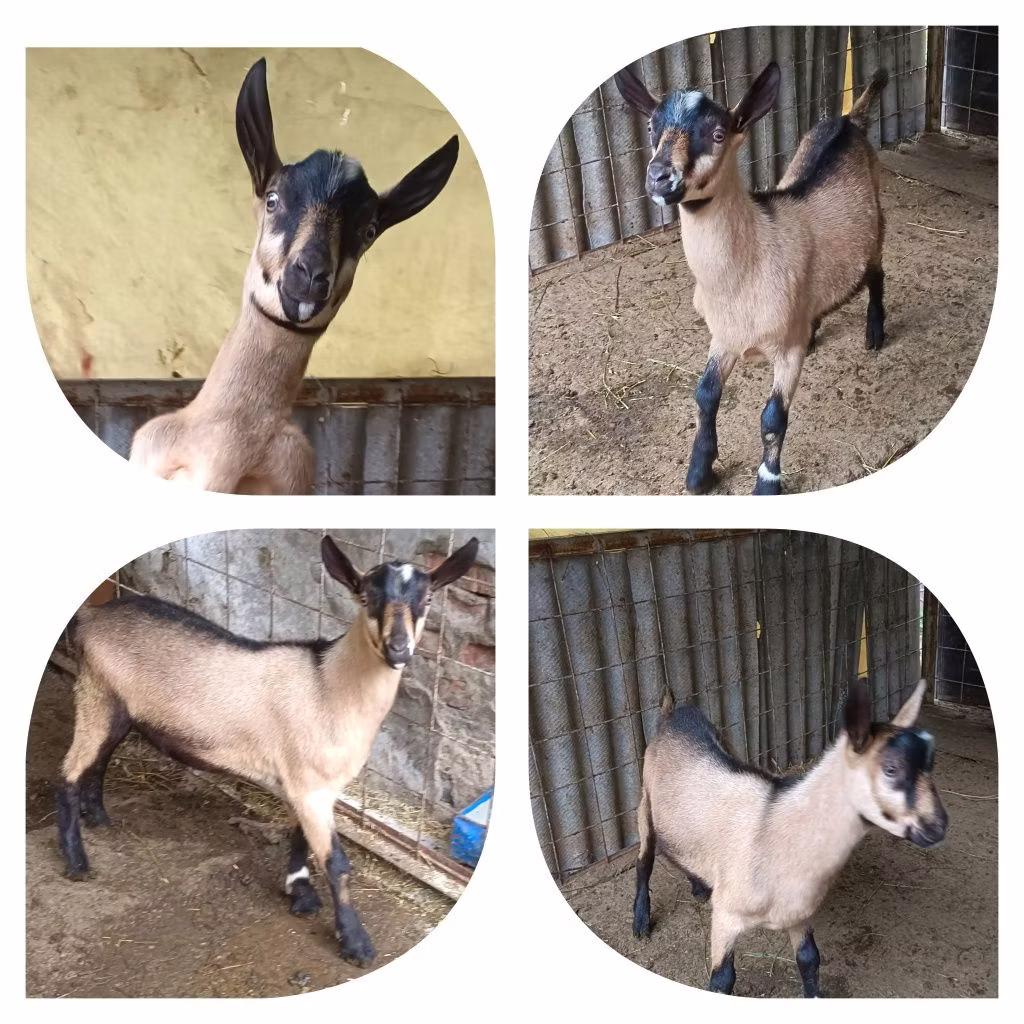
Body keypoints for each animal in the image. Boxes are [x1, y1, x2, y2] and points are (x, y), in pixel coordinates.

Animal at [56, 535, 479, 966]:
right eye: (364, 596)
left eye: (428, 598)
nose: (398, 648)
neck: (329, 685)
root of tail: (92, 617)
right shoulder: (310, 786)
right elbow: (337, 862)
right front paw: (356, 943)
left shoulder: (309, 784)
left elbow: (300, 837)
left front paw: (300, 893)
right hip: (95, 693)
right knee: (69, 772)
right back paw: (77, 860)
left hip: (118, 706)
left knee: (101, 757)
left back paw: (99, 817)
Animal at [615, 61, 888, 495]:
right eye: (651, 127)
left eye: (718, 133)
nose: (658, 176)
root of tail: (849, 120)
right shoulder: (723, 335)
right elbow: (705, 394)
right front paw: (699, 470)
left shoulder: (786, 352)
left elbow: (773, 419)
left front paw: (766, 484)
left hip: (875, 225)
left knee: (876, 272)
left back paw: (875, 331)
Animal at [633, 679, 947, 996]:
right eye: (892, 769)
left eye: (931, 764)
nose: (938, 827)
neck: (777, 832)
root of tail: (672, 714)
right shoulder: (725, 914)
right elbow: (722, 979)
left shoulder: (799, 914)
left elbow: (809, 959)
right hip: (645, 801)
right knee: (645, 859)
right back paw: (641, 921)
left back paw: (698, 885)